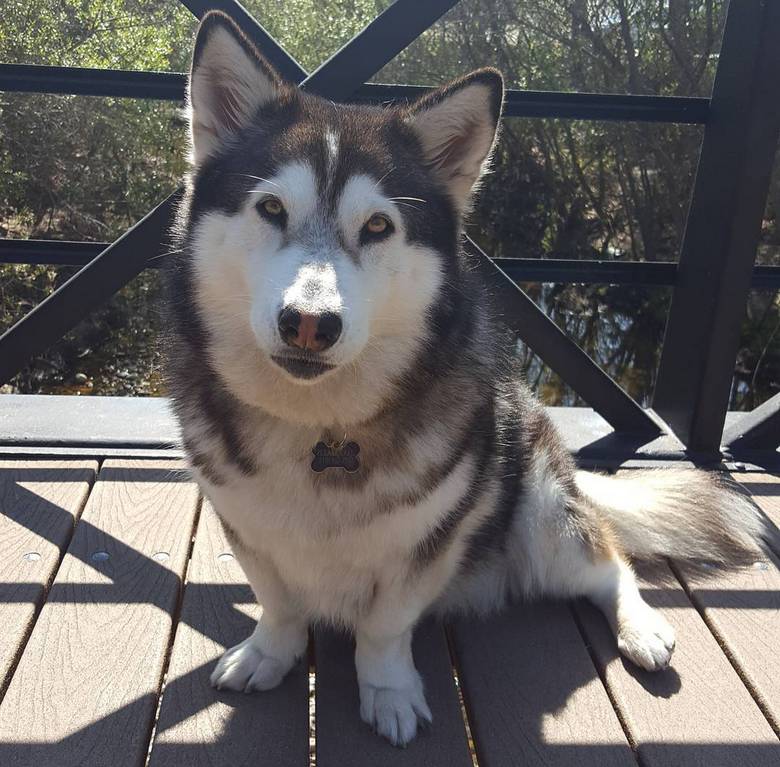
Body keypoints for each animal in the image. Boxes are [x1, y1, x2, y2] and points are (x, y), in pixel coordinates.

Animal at [166, 10, 768, 744]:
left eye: (377, 225)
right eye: (272, 209)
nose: (309, 323)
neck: (321, 427)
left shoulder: (430, 541)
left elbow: (385, 628)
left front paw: (389, 691)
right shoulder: (247, 526)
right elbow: (279, 603)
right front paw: (269, 653)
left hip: (541, 521)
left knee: (608, 561)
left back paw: (641, 626)